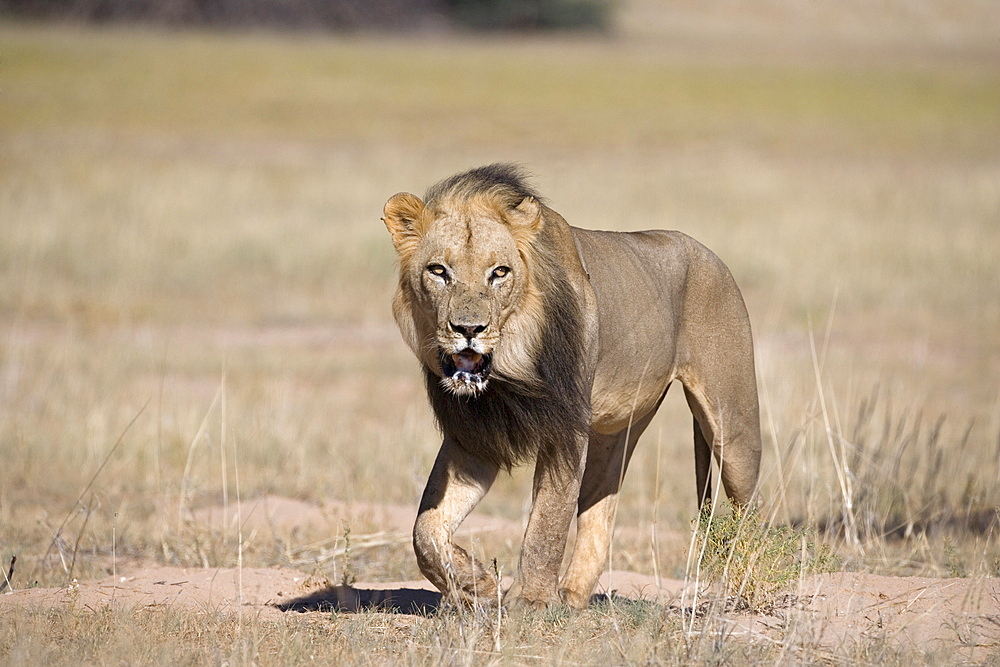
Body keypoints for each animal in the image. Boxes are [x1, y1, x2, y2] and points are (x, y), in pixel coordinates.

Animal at [380, 163, 756, 612]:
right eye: (438, 271)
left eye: (499, 272)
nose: (469, 329)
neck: (509, 371)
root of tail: (709, 253)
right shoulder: (474, 437)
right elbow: (425, 528)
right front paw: (478, 585)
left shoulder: (566, 426)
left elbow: (549, 518)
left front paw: (531, 601)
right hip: (617, 428)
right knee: (601, 504)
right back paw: (573, 594)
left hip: (733, 428)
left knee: (747, 508)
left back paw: (744, 587)